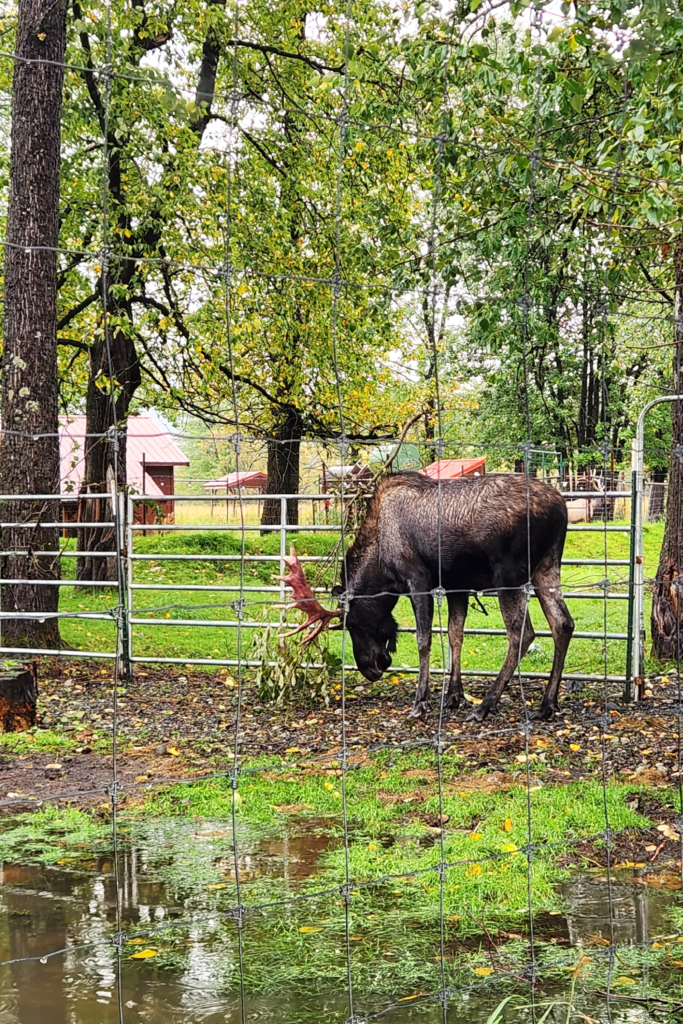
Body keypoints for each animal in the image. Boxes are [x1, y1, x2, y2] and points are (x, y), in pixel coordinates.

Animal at [280, 472, 574, 723]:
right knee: (562, 623)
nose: (369, 668)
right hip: (547, 565)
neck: (380, 566)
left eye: (350, 624)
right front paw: (453, 695)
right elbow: (455, 634)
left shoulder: (418, 577)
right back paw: (547, 704)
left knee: (522, 633)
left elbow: (424, 640)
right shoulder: (458, 585)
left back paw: (485, 706)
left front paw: (420, 702)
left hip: (510, 574)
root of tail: (561, 508)